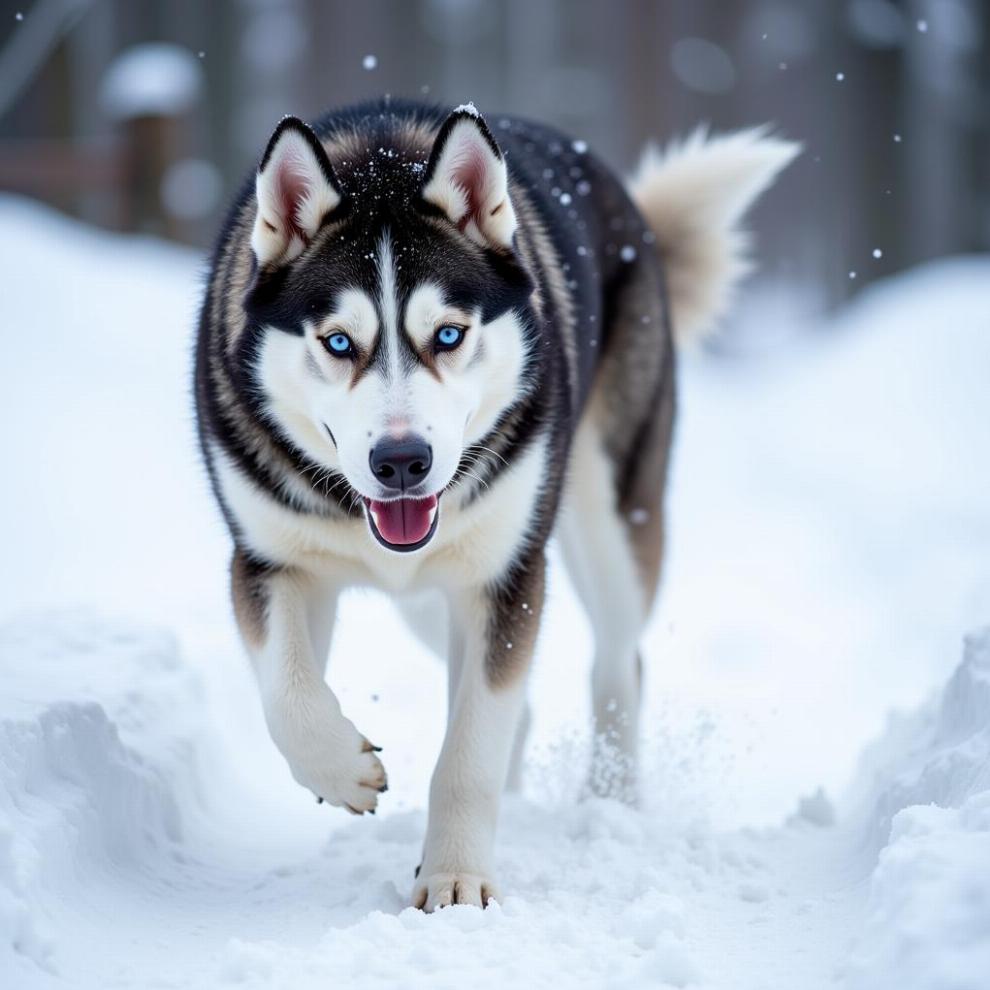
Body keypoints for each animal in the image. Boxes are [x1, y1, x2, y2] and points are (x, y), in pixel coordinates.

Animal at [196, 97, 800, 912]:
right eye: (339, 342)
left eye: (449, 334)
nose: (402, 462)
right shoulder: (269, 561)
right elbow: (287, 690)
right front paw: (341, 771)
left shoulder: (506, 574)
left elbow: (471, 748)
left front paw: (455, 878)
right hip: (427, 597)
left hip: (607, 518)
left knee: (618, 661)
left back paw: (612, 804)